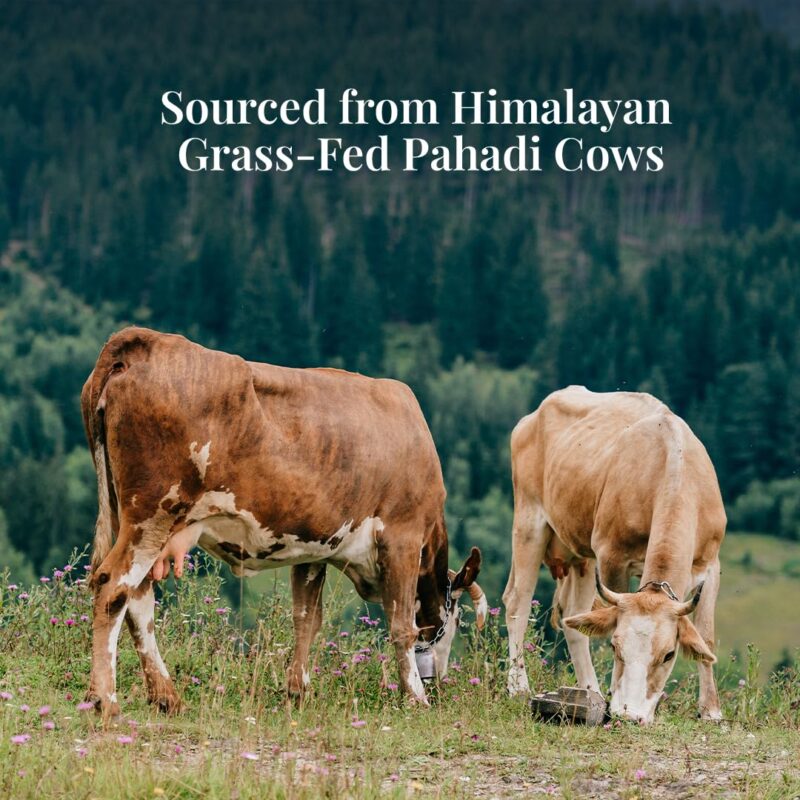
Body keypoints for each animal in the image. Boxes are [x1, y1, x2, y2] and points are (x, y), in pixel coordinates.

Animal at [81, 327, 486, 717]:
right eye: (455, 622)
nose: (438, 682)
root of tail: (143, 339)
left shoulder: (313, 548)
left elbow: (307, 619)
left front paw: (298, 691)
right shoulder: (402, 536)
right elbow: (402, 625)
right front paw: (416, 698)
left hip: (134, 517)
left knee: (139, 598)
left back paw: (166, 697)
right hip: (153, 513)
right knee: (114, 586)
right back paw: (107, 700)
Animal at [502, 386, 726, 724]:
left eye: (669, 655)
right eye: (615, 646)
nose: (630, 715)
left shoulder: (710, 565)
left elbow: (707, 637)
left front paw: (710, 710)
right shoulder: (612, 557)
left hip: (580, 552)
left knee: (573, 617)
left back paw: (590, 692)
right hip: (529, 520)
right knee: (517, 602)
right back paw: (518, 686)